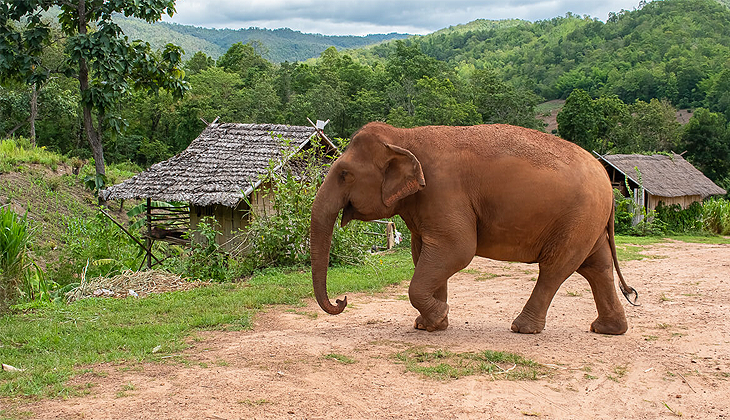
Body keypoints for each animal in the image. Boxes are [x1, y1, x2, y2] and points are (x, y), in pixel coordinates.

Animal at [308, 121, 636, 334]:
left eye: (344, 174)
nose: (342, 300)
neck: (404, 136)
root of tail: (607, 180)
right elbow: (423, 252)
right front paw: (432, 325)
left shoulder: (444, 192)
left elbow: (457, 250)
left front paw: (438, 317)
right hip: (588, 220)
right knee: (597, 266)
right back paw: (608, 329)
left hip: (577, 219)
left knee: (556, 268)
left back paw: (522, 328)